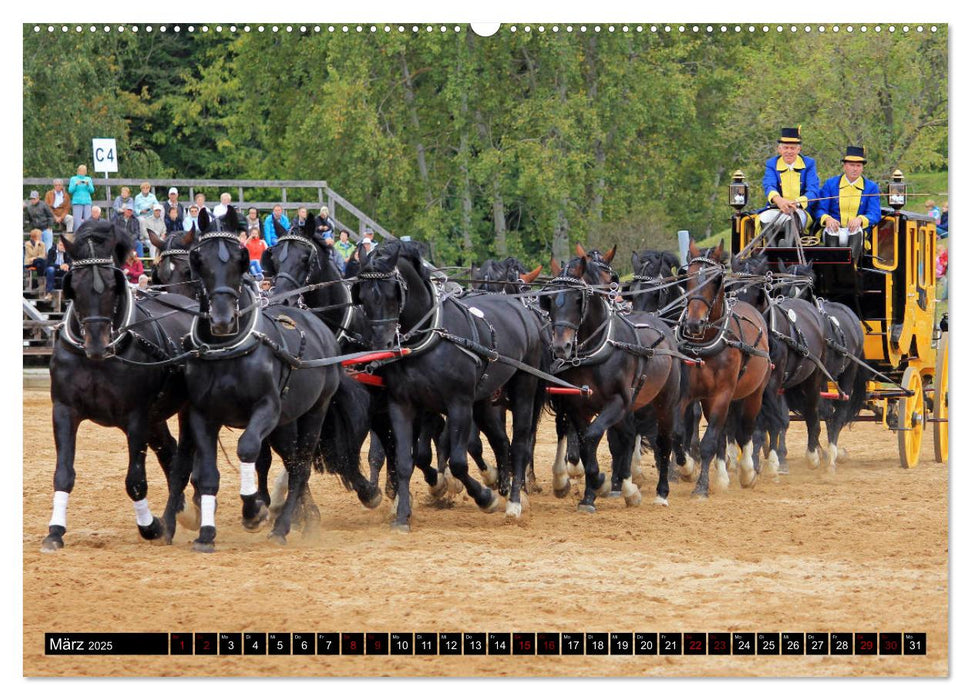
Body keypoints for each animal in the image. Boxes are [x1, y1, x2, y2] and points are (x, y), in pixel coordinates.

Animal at [43, 219, 197, 552]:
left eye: (113, 286)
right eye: (73, 285)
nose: (96, 344)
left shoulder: (136, 417)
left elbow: (135, 481)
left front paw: (150, 527)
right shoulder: (63, 411)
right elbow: (63, 474)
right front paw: (55, 531)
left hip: (182, 410)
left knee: (183, 460)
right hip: (157, 416)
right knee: (170, 453)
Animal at [177, 208, 348, 552]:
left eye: (242, 259)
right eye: (198, 259)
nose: (222, 319)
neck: (227, 349)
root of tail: (317, 323)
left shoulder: (267, 409)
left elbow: (247, 449)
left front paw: (254, 510)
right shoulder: (202, 414)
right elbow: (209, 474)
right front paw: (206, 534)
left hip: (315, 411)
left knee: (300, 467)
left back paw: (283, 526)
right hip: (286, 421)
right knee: (291, 461)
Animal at [352, 241, 552, 532]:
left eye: (393, 294)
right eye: (363, 296)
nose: (381, 345)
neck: (430, 337)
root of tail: (523, 310)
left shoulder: (458, 404)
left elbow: (458, 463)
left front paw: (484, 498)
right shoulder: (402, 404)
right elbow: (405, 460)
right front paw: (402, 516)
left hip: (523, 388)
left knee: (520, 442)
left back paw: (514, 501)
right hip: (483, 401)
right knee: (500, 441)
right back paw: (504, 488)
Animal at [544, 245, 680, 508]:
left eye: (579, 299)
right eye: (551, 299)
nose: (561, 347)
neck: (596, 349)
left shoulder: (617, 402)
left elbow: (593, 436)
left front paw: (600, 481)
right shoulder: (578, 405)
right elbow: (586, 444)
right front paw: (589, 495)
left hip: (665, 402)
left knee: (663, 440)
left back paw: (661, 492)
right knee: (626, 436)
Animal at [676, 241, 776, 498]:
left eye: (716, 280)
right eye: (688, 278)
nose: (694, 323)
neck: (706, 343)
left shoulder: (723, 393)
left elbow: (710, 441)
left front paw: (701, 487)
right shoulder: (687, 394)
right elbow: (678, 433)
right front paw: (687, 467)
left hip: (753, 394)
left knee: (746, 430)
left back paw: (748, 471)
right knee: (724, 432)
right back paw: (721, 475)